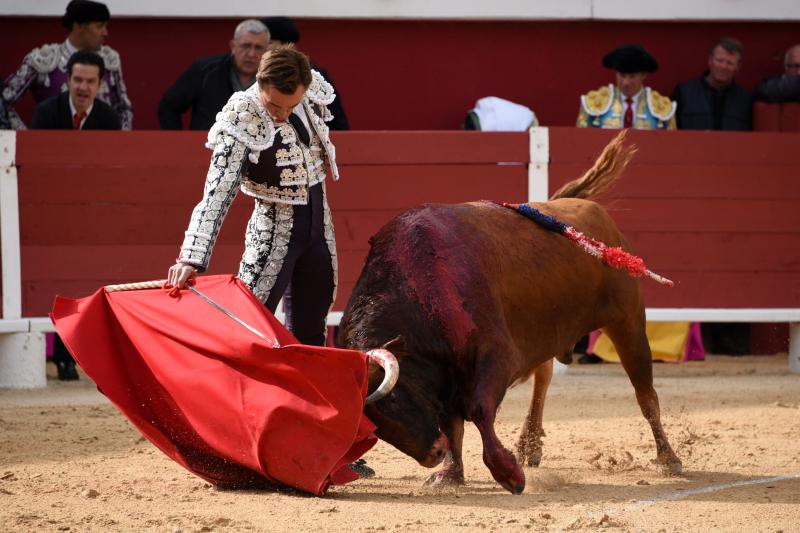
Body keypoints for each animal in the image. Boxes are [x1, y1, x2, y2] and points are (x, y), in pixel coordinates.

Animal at [339, 131, 683, 494]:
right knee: (544, 375)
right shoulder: (448, 371)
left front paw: (508, 474)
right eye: (372, 424)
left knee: (645, 393)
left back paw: (668, 459)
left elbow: (477, 411)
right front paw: (450, 474)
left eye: (393, 399)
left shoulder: (497, 355)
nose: (433, 454)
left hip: (628, 321)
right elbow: (453, 423)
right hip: (549, 331)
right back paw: (529, 444)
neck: (422, 283)